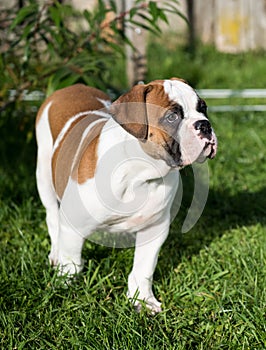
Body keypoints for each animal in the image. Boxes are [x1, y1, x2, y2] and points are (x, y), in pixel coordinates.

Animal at [35, 78, 218, 312]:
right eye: (172, 117)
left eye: (203, 108)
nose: (205, 125)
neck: (139, 172)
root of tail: (72, 87)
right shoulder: (73, 223)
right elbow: (72, 262)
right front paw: (63, 287)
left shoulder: (154, 229)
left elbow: (143, 268)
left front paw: (142, 299)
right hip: (44, 175)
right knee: (52, 216)